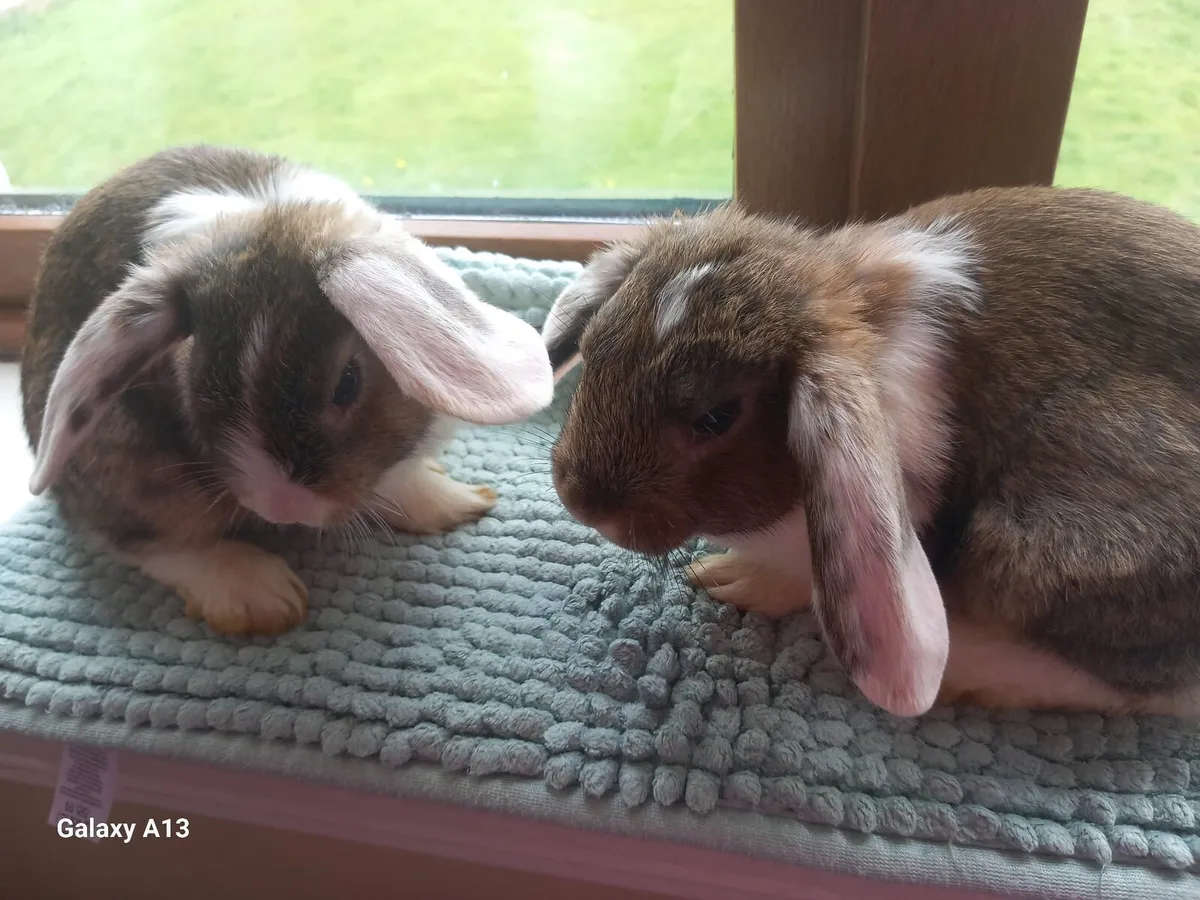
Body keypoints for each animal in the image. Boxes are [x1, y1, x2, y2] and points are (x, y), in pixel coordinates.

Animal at [21, 144, 553, 637]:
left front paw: (453, 499)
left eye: (348, 382)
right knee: (136, 537)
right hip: (130, 461)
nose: (282, 507)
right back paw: (257, 594)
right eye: (195, 379)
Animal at [541, 188, 1200, 718]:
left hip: (1031, 547)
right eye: (595, 347)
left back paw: (973, 672)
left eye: (716, 417)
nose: (582, 502)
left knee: (1147, 691)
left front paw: (730, 580)